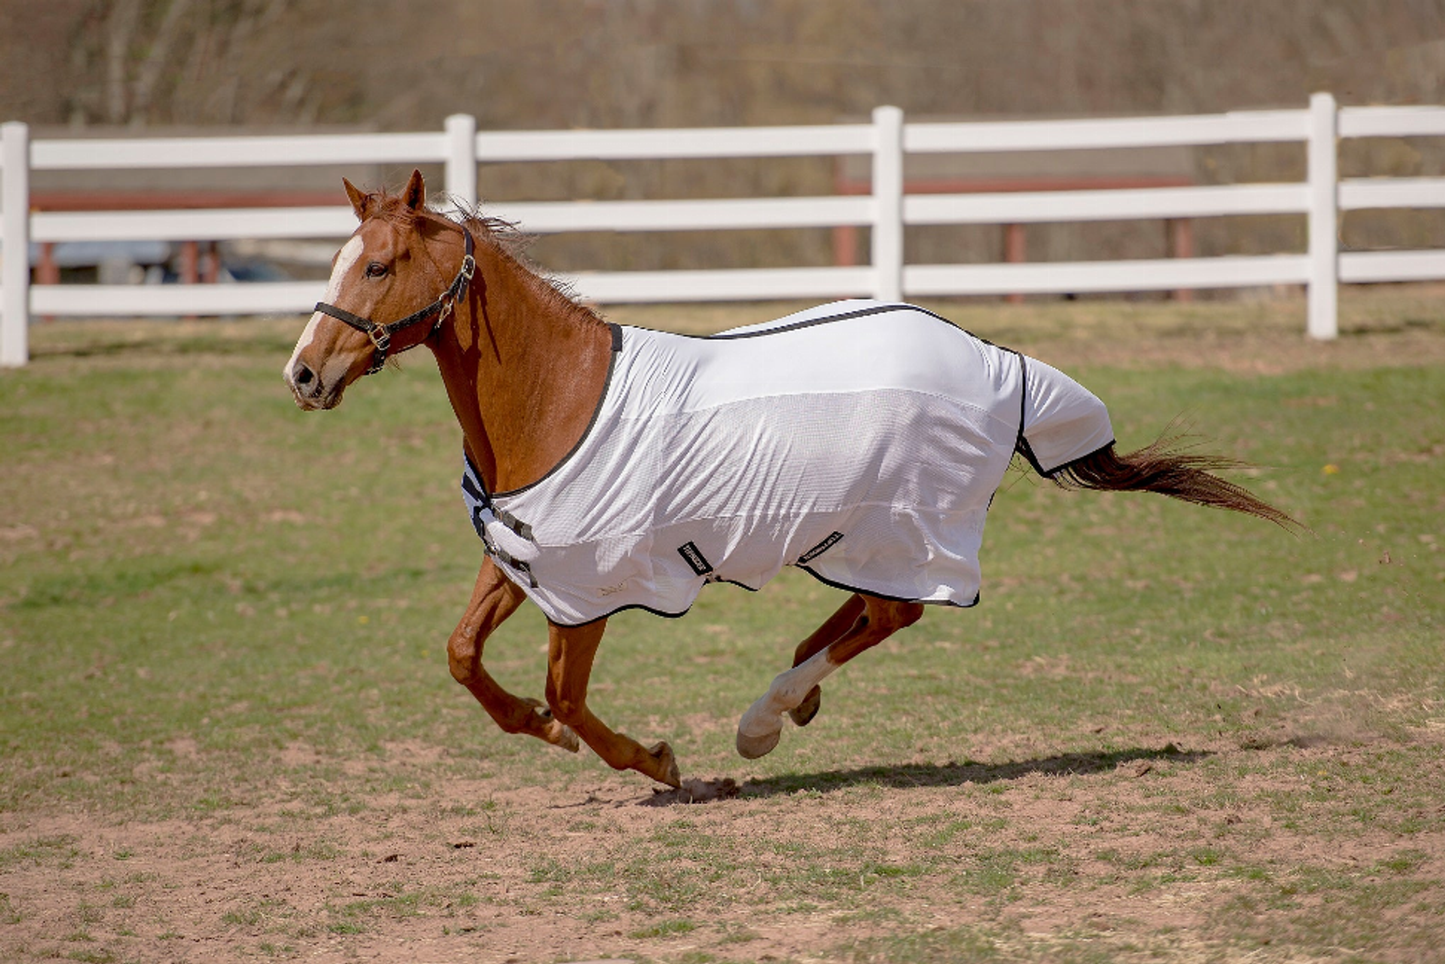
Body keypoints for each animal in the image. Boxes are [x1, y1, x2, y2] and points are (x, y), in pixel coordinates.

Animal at [284, 171, 1300, 792]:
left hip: (901, 526)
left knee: (893, 613)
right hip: (856, 531)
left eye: (379, 265)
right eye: (337, 261)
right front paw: (547, 731)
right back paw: (787, 702)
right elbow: (463, 656)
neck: (559, 398)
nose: (303, 373)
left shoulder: (593, 583)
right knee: (873, 611)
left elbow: (566, 691)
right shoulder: (525, 556)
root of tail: (996, 359)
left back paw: (762, 718)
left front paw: (658, 763)